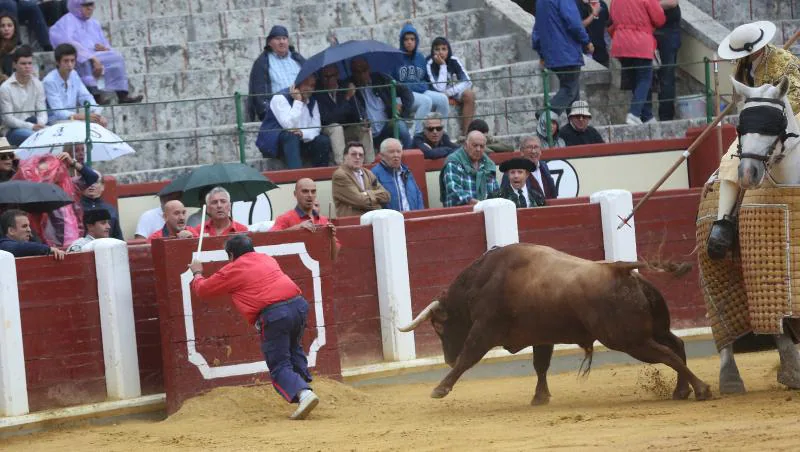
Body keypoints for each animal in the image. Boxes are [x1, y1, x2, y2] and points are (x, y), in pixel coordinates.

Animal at [398, 244, 712, 402]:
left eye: (439, 327)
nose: (447, 359)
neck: (484, 280)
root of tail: (620, 269)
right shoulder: (542, 336)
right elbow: (541, 364)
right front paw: (540, 397)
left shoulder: (484, 330)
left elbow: (468, 357)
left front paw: (440, 389)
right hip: (653, 331)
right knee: (676, 345)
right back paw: (682, 391)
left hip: (629, 340)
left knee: (669, 354)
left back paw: (701, 389)